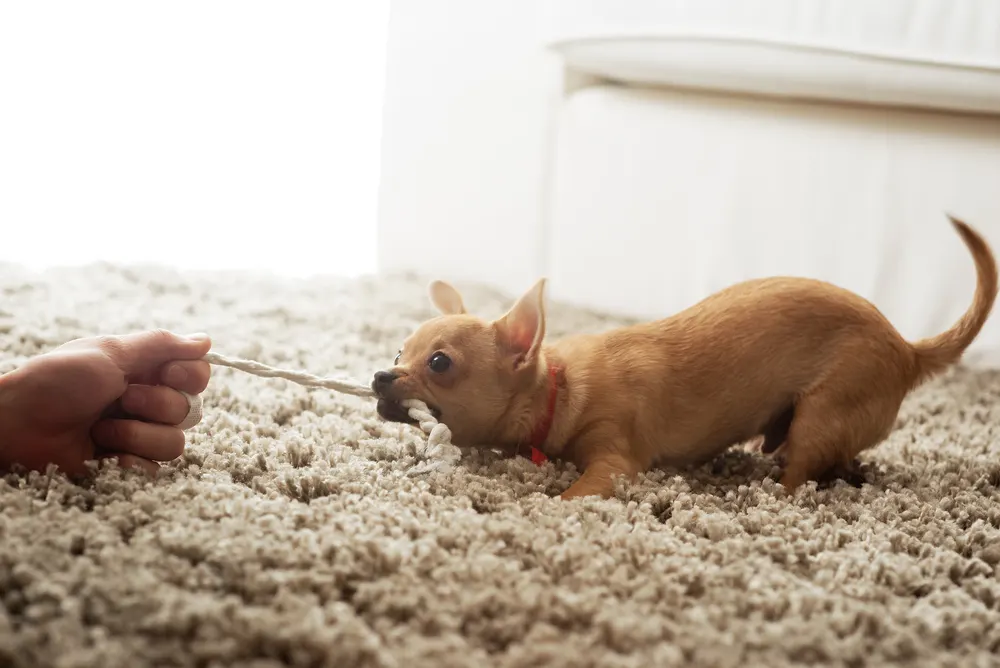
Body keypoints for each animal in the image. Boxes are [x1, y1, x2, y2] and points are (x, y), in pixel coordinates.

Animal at [372, 217, 996, 498]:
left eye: (440, 365)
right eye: (399, 351)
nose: (379, 375)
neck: (559, 386)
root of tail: (907, 348)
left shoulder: (614, 462)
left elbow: (578, 491)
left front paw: (554, 504)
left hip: (821, 412)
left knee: (799, 470)